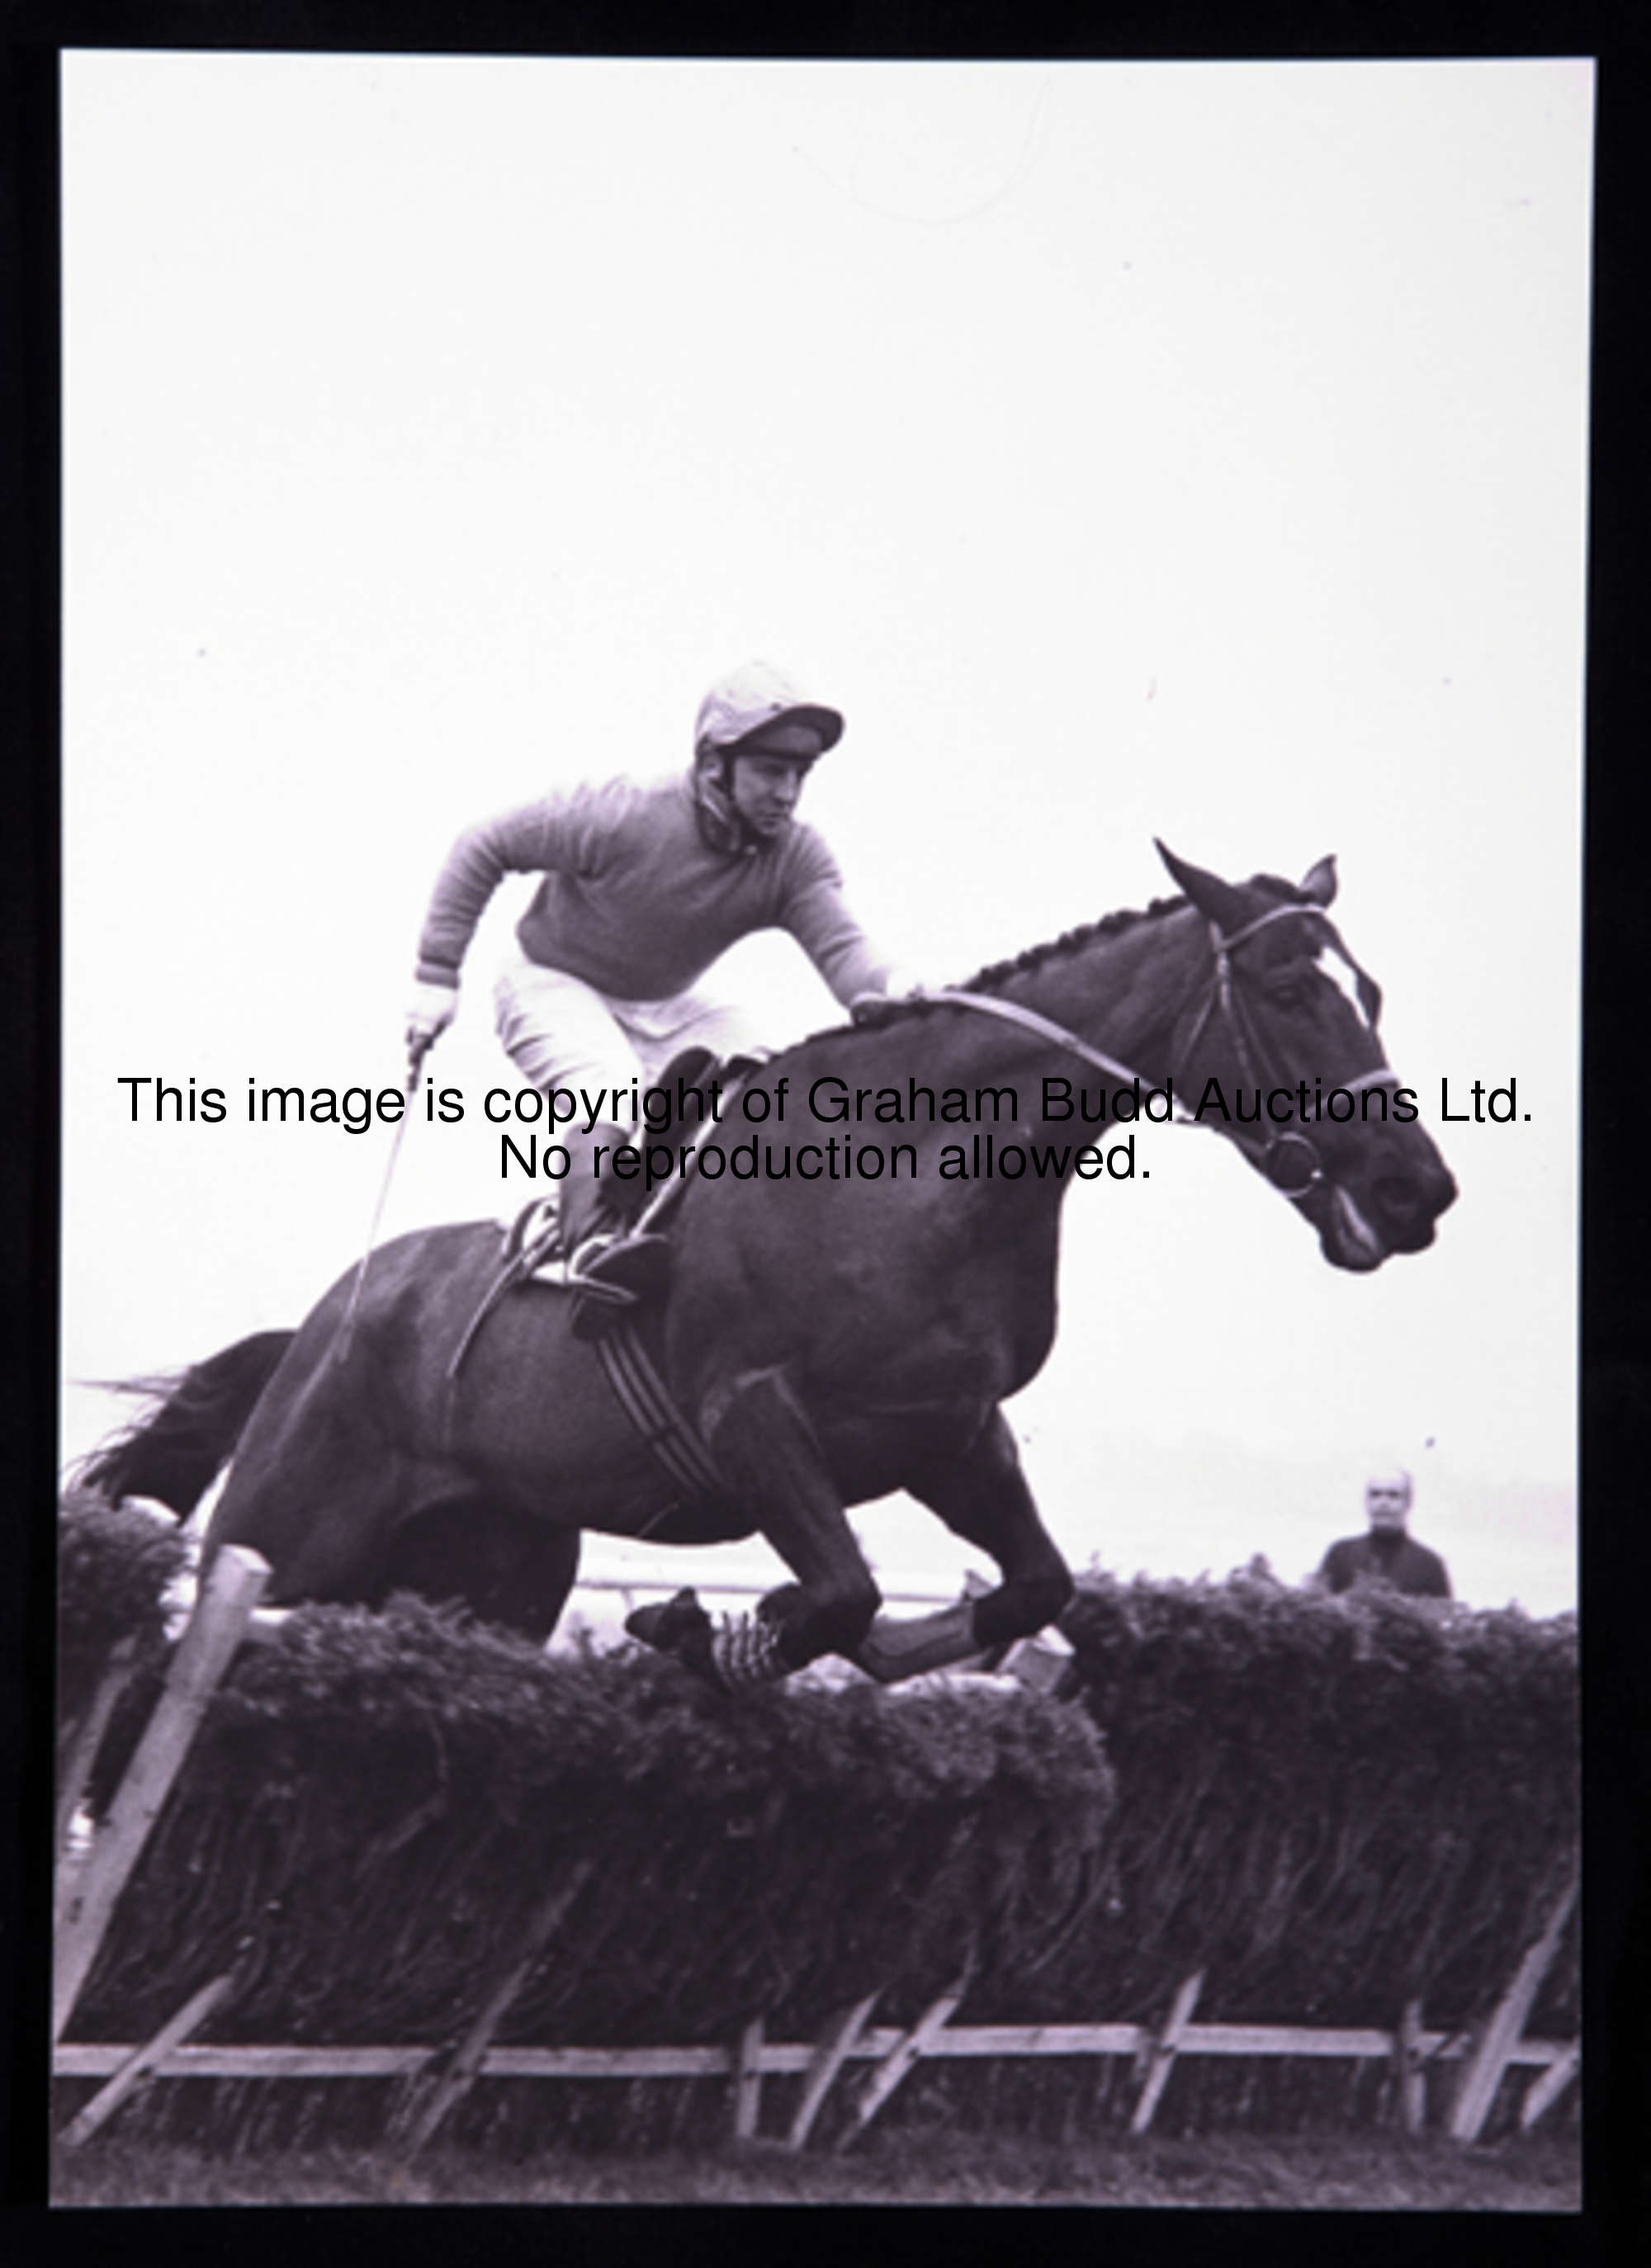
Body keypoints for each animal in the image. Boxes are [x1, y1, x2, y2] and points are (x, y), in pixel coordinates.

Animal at [87, 848, 1460, 1687]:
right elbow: (845, 1591)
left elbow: (1027, 1589)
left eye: (1374, 990)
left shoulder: (948, 1430)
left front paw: (715, 1628)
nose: (1420, 1191)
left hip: (493, 1567)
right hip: (289, 1531)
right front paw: (716, 1632)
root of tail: (322, 1324)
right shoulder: (750, 1416)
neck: (917, 1180)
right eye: (1287, 988)